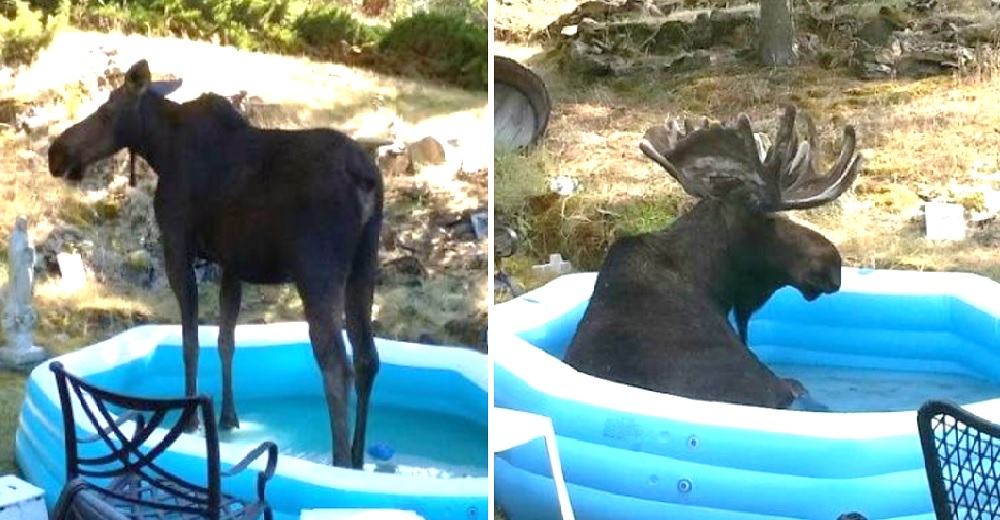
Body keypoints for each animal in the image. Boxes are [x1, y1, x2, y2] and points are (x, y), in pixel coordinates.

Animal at [46, 59, 382, 470]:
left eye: (107, 111)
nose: (57, 153)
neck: (160, 147)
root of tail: (366, 179)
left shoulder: (176, 247)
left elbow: (190, 341)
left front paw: (191, 419)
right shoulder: (230, 264)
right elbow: (225, 340)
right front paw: (228, 417)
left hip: (317, 271)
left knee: (336, 363)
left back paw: (340, 462)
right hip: (364, 265)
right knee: (367, 357)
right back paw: (359, 456)